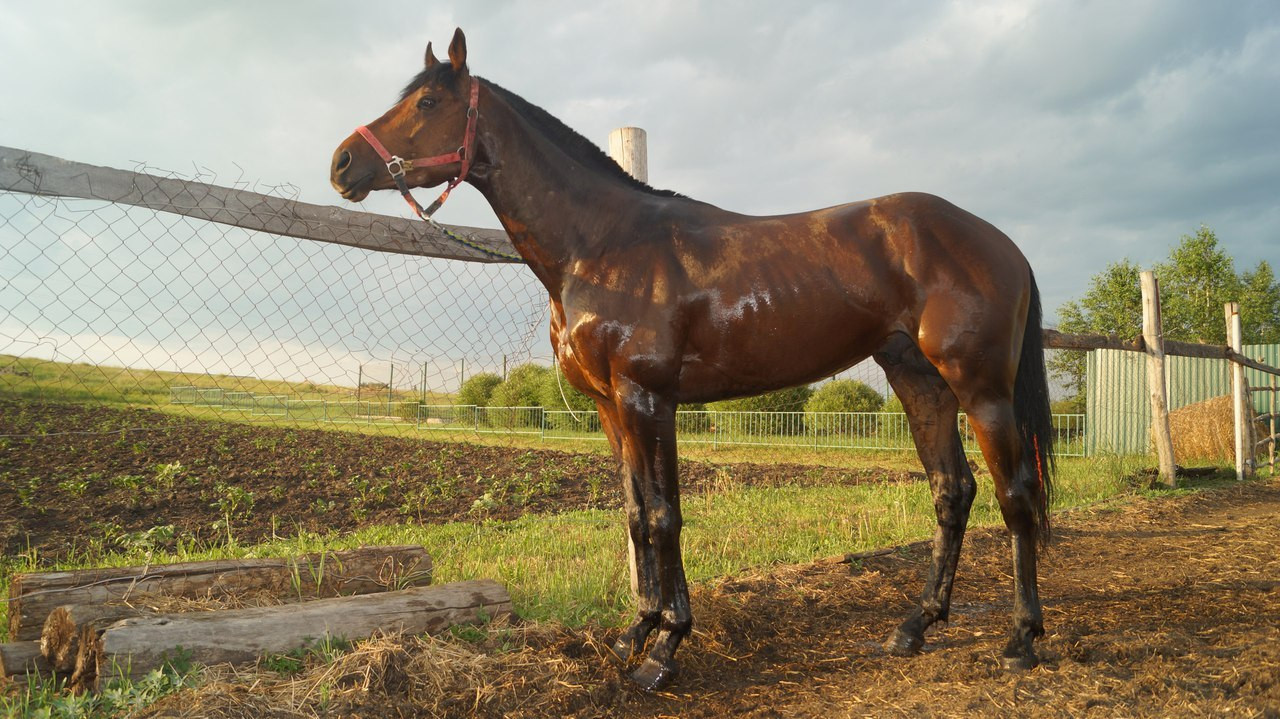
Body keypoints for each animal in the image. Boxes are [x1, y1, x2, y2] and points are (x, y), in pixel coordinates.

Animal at [327, 29, 1049, 690]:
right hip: (918, 379)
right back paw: (914, 626)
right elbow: (636, 514)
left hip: (981, 387)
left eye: (426, 102)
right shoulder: (610, 407)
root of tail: (1004, 242)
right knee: (952, 491)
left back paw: (1021, 640)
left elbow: (664, 515)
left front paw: (667, 648)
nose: (341, 163)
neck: (603, 245)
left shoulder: (649, 397)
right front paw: (635, 633)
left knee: (1015, 495)